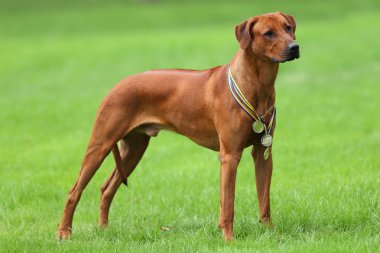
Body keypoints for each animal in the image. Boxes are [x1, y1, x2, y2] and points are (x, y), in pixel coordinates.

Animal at [57, 11, 300, 241]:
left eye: (288, 28)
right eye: (268, 33)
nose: (294, 47)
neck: (257, 84)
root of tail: (118, 84)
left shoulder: (263, 151)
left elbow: (264, 200)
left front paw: (269, 233)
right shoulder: (230, 155)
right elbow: (228, 204)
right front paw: (229, 239)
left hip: (134, 149)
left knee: (106, 188)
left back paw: (104, 229)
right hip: (101, 144)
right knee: (74, 191)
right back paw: (64, 233)